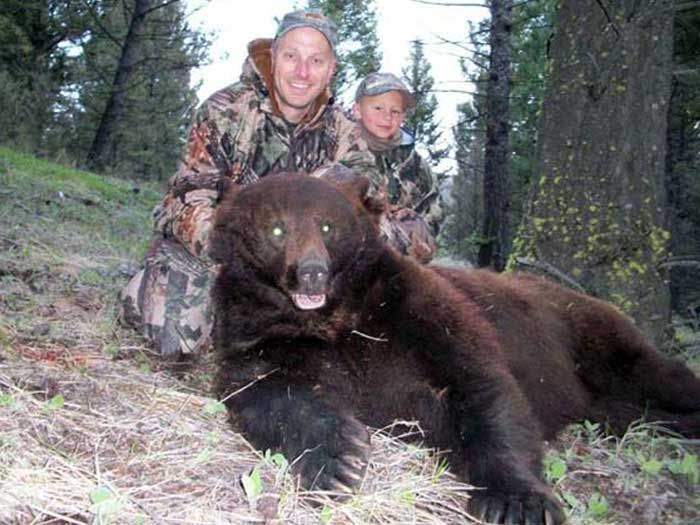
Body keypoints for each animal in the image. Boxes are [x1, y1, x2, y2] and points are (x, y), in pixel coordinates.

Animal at [209, 172, 700, 525]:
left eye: (328, 226)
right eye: (277, 228)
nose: (312, 272)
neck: (335, 316)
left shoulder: (414, 311)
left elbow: (480, 386)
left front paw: (518, 501)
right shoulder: (265, 334)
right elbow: (269, 392)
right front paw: (339, 462)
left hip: (593, 339)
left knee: (657, 374)